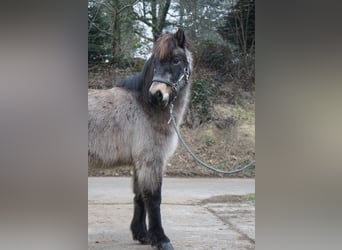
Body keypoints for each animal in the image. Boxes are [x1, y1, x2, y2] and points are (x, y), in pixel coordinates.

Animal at [89, 29, 192, 250]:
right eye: (156, 61)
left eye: (176, 60)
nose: (157, 94)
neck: (144, 105)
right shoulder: (151, 161)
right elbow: (153, 198)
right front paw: (161, 239)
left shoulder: (140, 163)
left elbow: (140, 197)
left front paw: (142, 235)